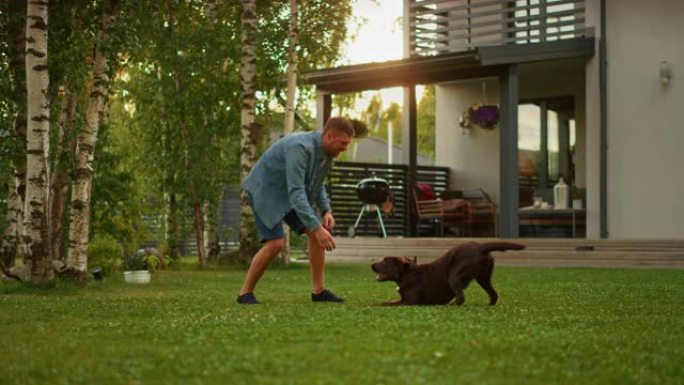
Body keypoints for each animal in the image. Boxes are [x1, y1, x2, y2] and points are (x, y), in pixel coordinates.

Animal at [368, 242, 524, 304]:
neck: (407, 274)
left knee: (461, 298)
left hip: (454, 277)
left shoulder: (410, 302)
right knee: (494, 294)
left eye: (385, 261)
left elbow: (386, 305)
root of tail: (481, 246)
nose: (372, 265)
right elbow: (388, 301)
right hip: (484, 278)